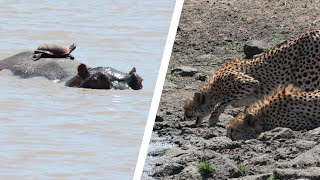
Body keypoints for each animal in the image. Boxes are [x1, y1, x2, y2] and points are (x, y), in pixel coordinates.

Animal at [182, 29, 320, 126]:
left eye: (187, 109)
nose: (184, 117)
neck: (214, 86)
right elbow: (247, 108)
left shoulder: (248, 83)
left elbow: (223, 102)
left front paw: (213, 119)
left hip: (306, 77)